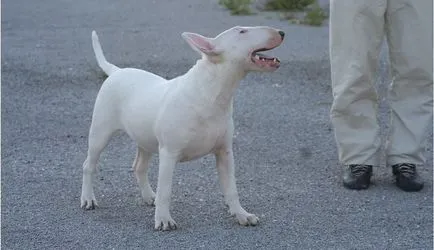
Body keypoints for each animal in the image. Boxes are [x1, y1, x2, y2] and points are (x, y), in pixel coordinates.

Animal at [81, 25, 284, 230]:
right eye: (242, 32)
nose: (281, 32)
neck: (211, 93)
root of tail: (116, 71)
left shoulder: (225, 152)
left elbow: (232, 188)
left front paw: (242, 214)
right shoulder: (169, 153)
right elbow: (165, 190)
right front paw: (163, 220)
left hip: (145, 138)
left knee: (139, 167)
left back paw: (149, 196)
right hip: (100, 133)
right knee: (89, 165)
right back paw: (88, 199)